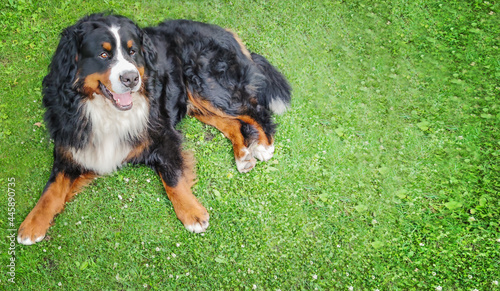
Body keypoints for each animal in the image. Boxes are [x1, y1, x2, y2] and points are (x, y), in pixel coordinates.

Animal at [17, 13, 292, 246]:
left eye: (132, 52)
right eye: (103, 55)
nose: (131, 79)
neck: (104, 110)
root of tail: (224, 31)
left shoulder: (163, 134)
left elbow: (172, 177)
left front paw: (193, 214)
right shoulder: (72, 144)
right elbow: (52, 189)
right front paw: (32, 225)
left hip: (208, 86)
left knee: (255, 110)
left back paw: (264, 146)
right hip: (195, 100)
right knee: (232, 123)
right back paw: (243, 155)